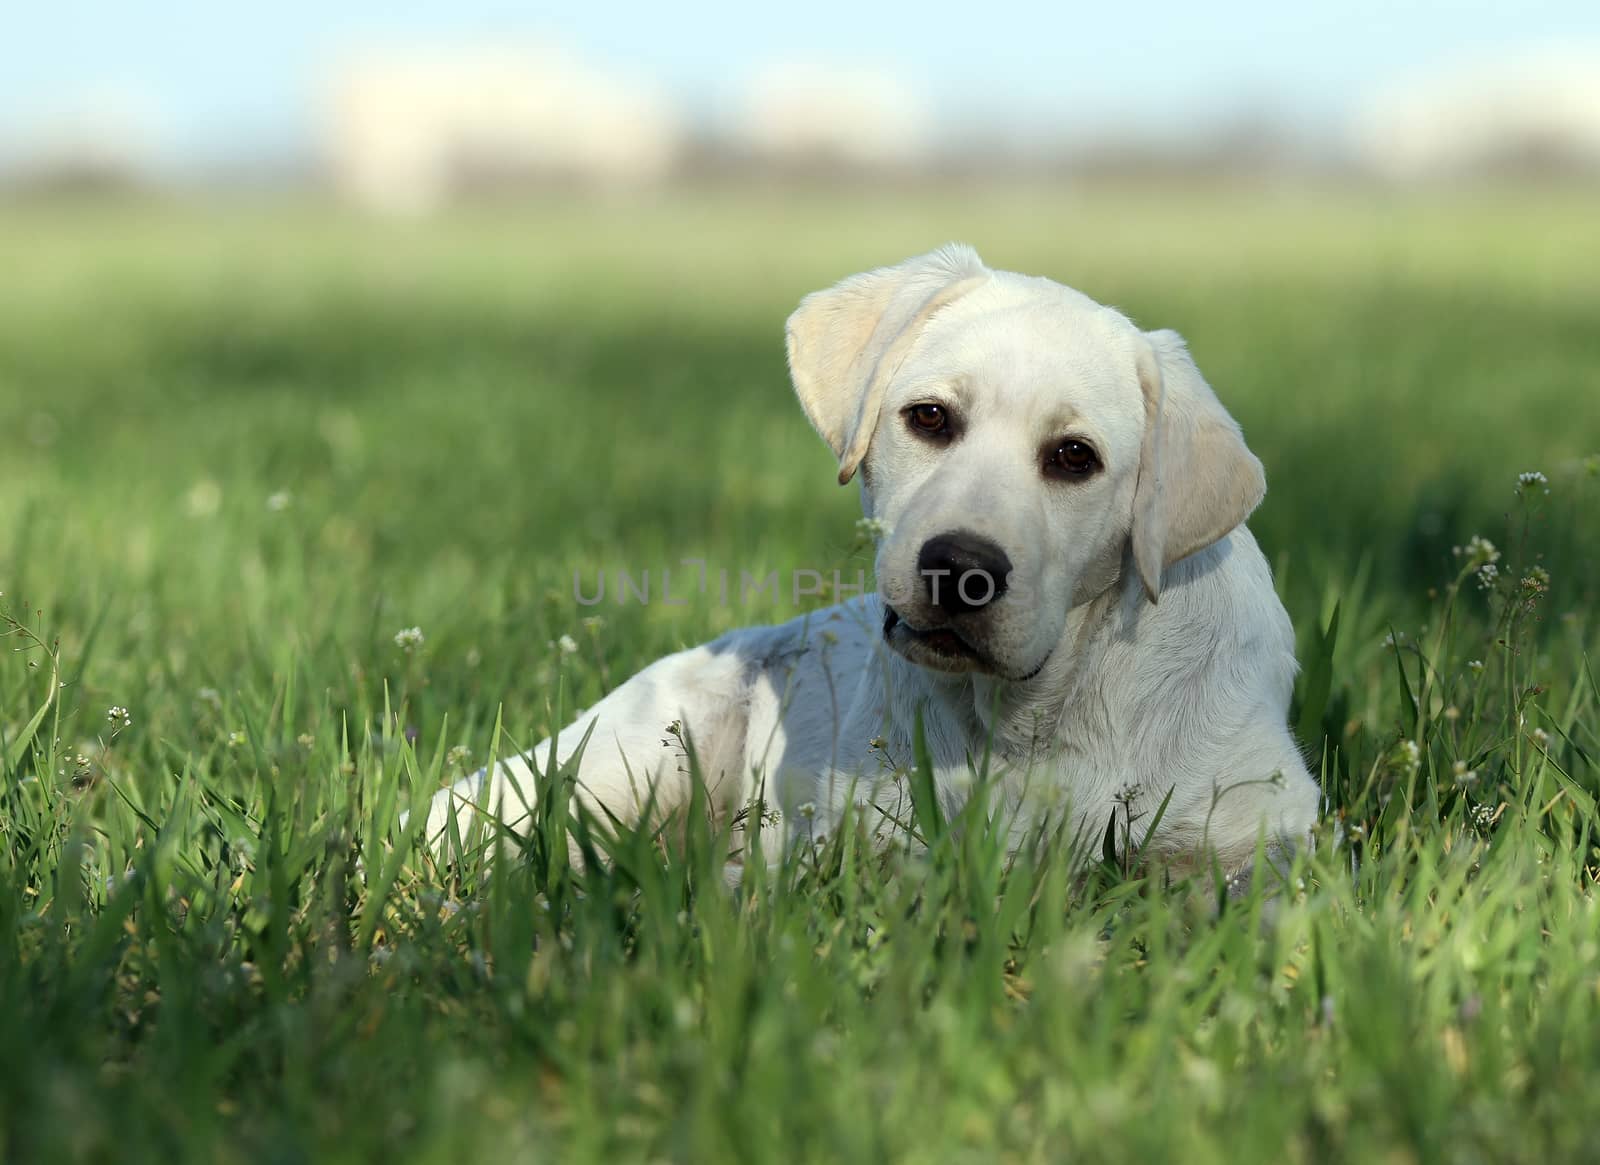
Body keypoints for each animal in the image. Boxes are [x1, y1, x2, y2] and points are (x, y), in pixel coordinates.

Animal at [419, 248, 1318, 883]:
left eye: (1074, 456)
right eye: (930, 417)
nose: (961, 567)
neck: (1034, 712)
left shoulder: (1261, 833)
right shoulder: (868, 842)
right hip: (621, 764)